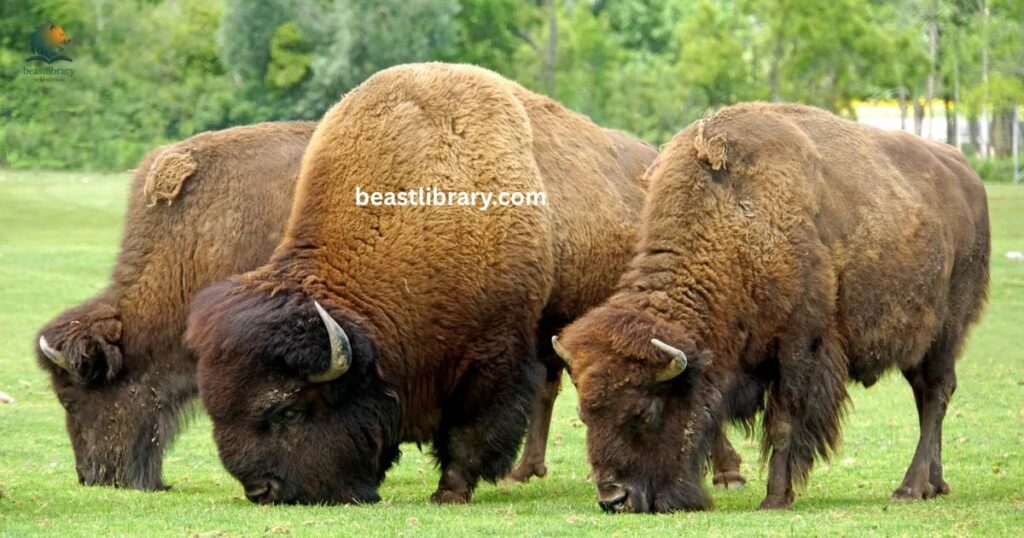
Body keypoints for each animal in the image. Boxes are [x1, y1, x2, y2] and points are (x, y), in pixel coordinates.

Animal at [554, 103, 989, 512]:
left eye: (644, 413)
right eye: (584, 414)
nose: (614, 498)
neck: (734, 224)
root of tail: (966, 176)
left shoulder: (798, 348)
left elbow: (783, 422)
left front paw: (776, 497)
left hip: (945, 334)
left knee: (936, 396)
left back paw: (909, 488)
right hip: (919, 347)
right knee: (925, 397)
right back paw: (935, 485)